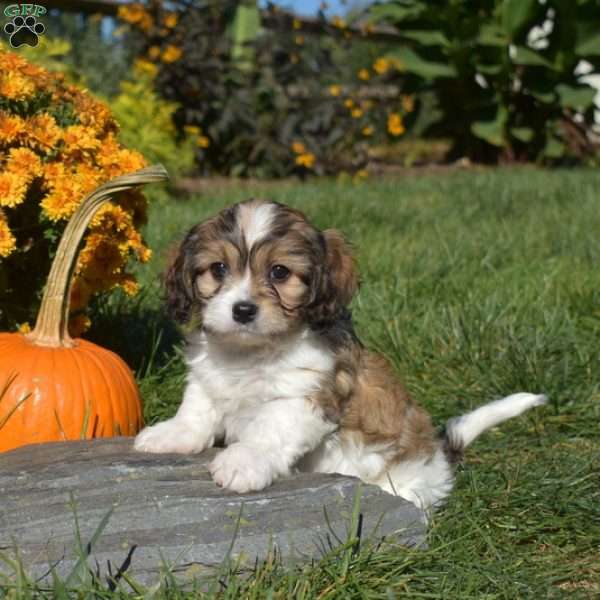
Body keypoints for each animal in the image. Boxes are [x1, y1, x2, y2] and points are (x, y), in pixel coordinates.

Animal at [134, 199, 548, 508]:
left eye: (280, 272)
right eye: (218, 269)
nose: (243, 310)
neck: (251, 352)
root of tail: (441, 454)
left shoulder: (307, 396)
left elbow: (268, 429)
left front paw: (243, 462)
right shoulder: (209, 374)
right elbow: (198, 406)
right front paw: (173, 434)